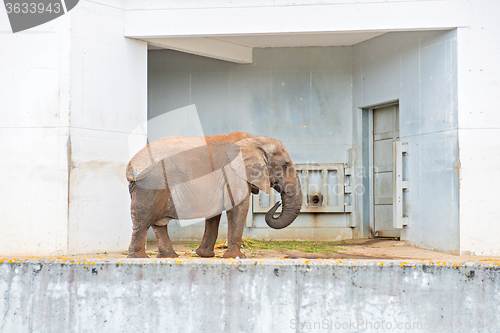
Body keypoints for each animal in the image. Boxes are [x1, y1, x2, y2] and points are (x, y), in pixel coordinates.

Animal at [127, 131, 302, 258]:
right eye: (285, 166)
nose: (278, 203)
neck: (254, 139)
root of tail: (131, 166)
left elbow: (215, 212)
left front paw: (204, 255)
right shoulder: (233, 172)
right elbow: (239, 207)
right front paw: (236, 257)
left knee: (157, 223)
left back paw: (169, 257)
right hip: (151, 184)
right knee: (144, 220)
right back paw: (139, 258)